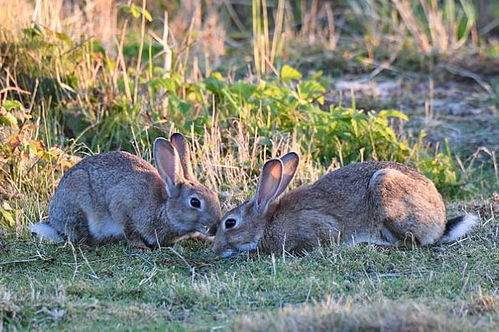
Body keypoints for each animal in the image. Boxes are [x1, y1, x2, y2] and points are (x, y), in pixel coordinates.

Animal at [28, 134, 221, 248]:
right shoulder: (122, 205)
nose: (216, 227)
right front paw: (140, 246)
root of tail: (54, 219)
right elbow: (129, 229)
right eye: (195, 202)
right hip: (76, 204)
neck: (164, 209)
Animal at [213, 152, 478, 258]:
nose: (215, 249)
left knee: (412, 242)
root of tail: (440, 223)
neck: (267, 223)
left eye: (230, 223)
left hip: (385, 189)